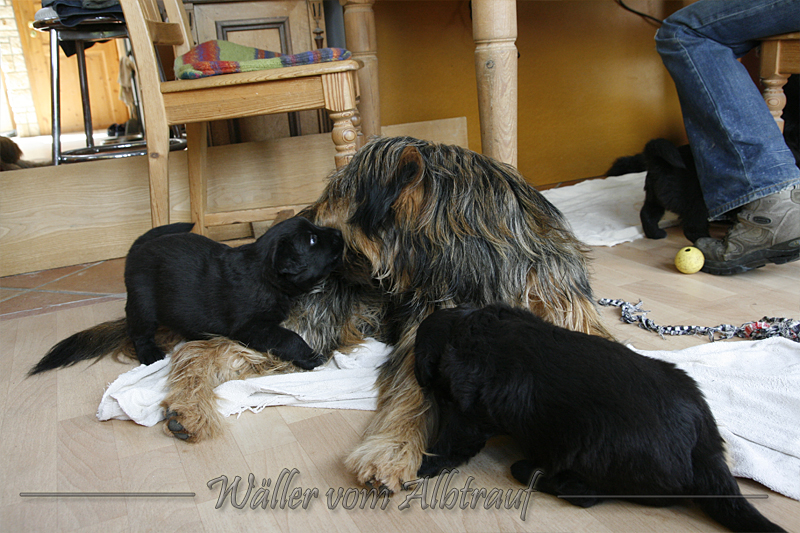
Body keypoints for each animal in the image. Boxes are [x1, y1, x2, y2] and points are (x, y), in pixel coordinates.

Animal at [30, 217, 343, 375]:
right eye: (312, 240)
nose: (339, 233)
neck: (264, 274)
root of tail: (137, 249)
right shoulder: (252, 326)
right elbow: (288, 337)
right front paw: (310, 356)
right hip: (143, 303)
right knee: (138, 332)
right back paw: (151, 354)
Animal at [413, 304, 785, 533]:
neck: (468, 328)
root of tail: (703, 450)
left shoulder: (469, 412)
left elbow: (454, 441)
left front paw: (425, 465)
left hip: (588, 451)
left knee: (586, 494)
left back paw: (531, 471)